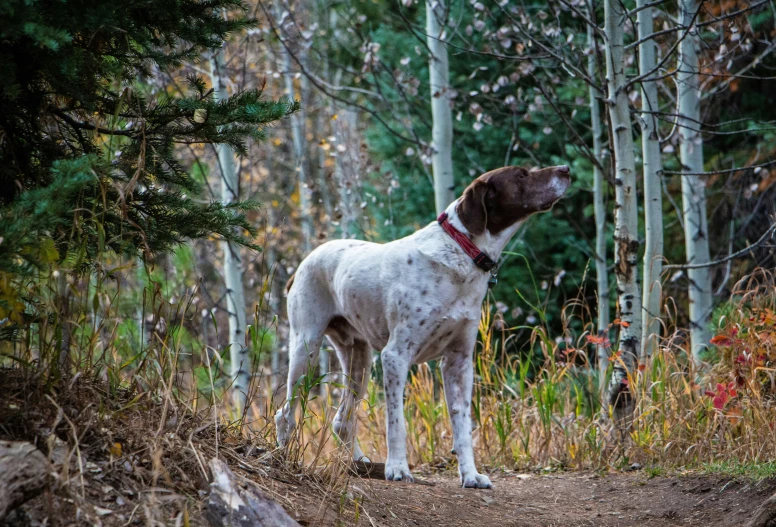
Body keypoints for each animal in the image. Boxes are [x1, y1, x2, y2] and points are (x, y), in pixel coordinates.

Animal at [274, 166, 568, 490]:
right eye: (521, 175)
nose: (566, 170)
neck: (461, 253)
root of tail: (301, 265)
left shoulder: (459, 363)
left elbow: (462, 427)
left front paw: (470, 475)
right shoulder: (395, 356)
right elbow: (396, 423)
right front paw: (397, 469)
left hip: (358, 359)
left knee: (342, 420)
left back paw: (360, 463)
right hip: (306, 349)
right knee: (285, 413)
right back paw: (284, 458)